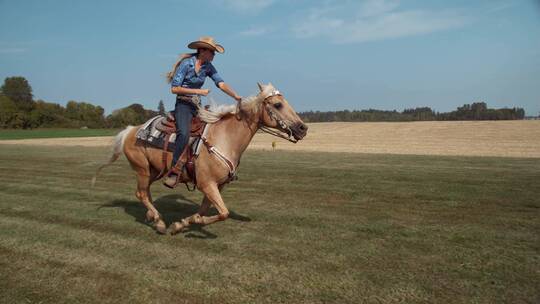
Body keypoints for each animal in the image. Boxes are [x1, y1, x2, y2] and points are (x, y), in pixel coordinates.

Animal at [93, 83, 308, 235]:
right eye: (278, 104)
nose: (303, 128)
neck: (224, 139)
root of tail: (131, 130)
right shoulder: (207, 184)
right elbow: (223, 213)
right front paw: (190, 223)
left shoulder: (217, 186)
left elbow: (206, 210)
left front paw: (181, 224)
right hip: (142, 170)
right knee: (141, 194)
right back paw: (159, 222)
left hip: (155, 171)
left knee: (144, 192)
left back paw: (152, 216)